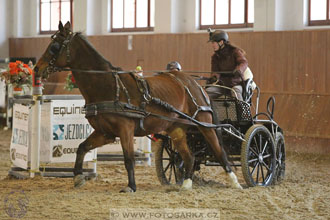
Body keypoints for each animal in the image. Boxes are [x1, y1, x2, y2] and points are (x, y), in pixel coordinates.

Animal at [34, 21, 242, 192]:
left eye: (54, 46)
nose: (37, 69)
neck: (108, 86)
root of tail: (195, 84)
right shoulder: (105, 132)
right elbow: (82, 147)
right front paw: (78, 177)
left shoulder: (125, 129)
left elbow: (129, 159)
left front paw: (131, 186)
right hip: (176, 128)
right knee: (188, 157)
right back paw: (186, 184)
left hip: (204, 123)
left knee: (219, 151)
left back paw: (234, 182)